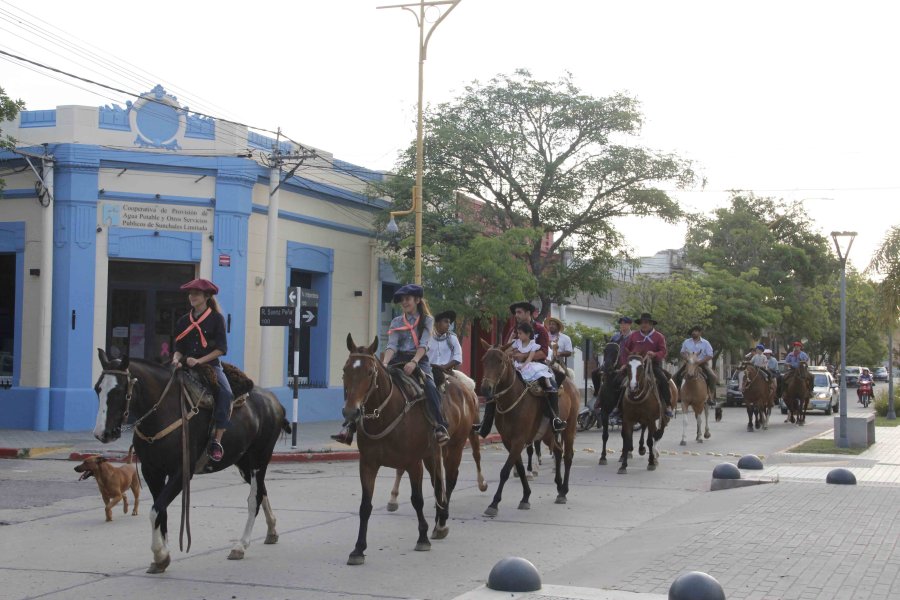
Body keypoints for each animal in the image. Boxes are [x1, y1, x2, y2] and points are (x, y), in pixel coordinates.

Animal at [92, 350, 288, 576]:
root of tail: (273, 401)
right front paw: (162, 556)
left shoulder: (181, 472)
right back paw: (272, 530)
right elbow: (161, 511)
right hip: (244, 464)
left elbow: (156, 510)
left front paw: (160, 554)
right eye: (97, 388)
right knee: (262, 491)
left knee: (254, 498)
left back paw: (241, 545)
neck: (163, 412)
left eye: (119, 390)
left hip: (259, 459)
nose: (102, 434)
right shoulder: (152, 471)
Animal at [478, 340, 576, 516]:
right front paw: (525, 497)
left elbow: (505, 471)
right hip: (547, 434)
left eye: (500, 361)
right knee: (558, 452)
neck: (512, 399)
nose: (485, 388)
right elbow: (520, 468)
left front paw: (494, 503)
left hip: (569, 428)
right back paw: (559, 488)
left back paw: (564, 490)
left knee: (568, 456)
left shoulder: (519, 440)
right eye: (484, 360)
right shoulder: (508, 441)